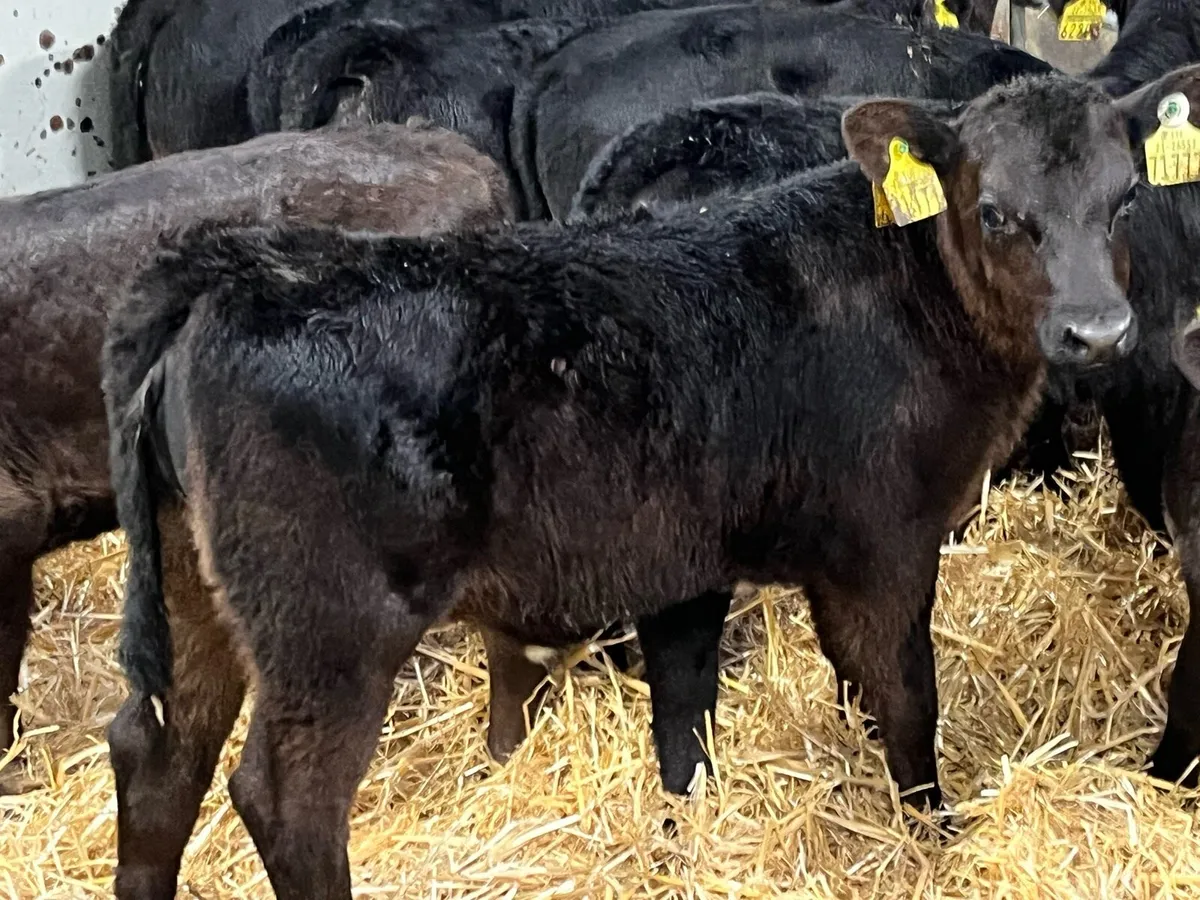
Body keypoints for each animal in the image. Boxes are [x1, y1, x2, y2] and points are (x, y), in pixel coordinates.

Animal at [103, 65, 1200, 899]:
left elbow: (696, 711)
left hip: (199, 595)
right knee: (287, 800)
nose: (1098, 332)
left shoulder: (690, 557)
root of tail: (232, 272)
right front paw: (933, 836)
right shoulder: (883, 539)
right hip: (329, 625)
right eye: (999, 213)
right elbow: (901, 693)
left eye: (1125, 200)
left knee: (155, 755)